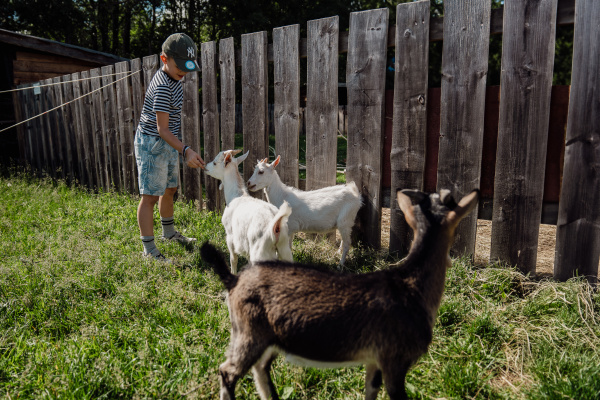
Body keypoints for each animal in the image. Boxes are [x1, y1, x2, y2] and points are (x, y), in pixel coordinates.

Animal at [199, 188, 480, 400]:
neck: (409, 283)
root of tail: (233, 280)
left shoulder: (374, 360)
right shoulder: (395, 359)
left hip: (267, 338)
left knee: (259, 370)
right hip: (249, 334)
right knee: (228, 371)